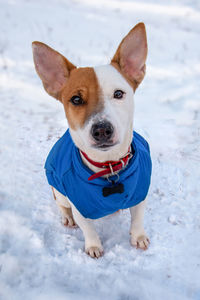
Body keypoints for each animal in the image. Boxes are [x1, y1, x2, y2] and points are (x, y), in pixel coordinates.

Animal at [32, 22, 152, 258]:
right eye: (76, 99)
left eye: (118, 94)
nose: (102, 130)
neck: (109, 167)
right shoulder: (79, 204)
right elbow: (87, 226)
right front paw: (94, 245)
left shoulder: (140, 192)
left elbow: (137, 217)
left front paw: (138, 236)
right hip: (58, 192)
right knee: (61, 205)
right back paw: (66, 217)